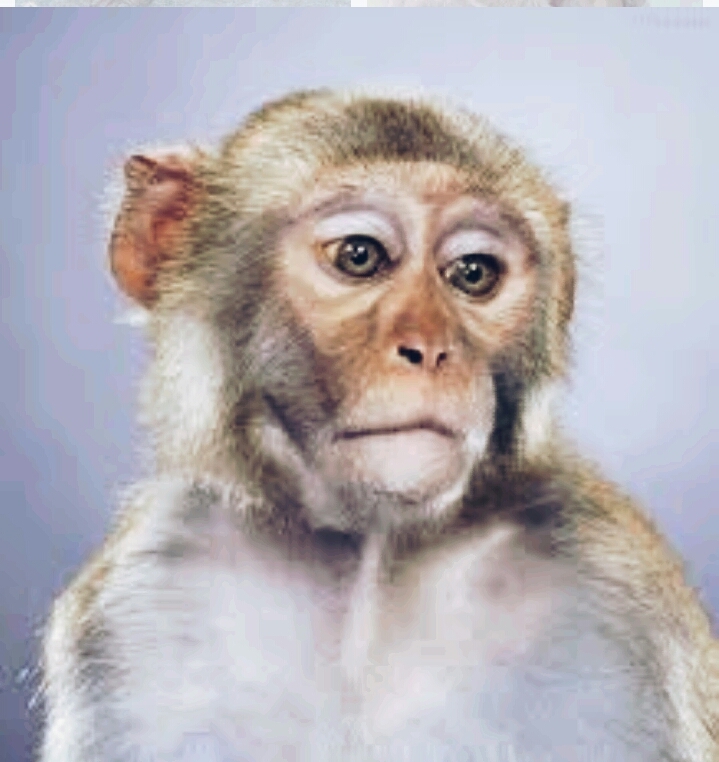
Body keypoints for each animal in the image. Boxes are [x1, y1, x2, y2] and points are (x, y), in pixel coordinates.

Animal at [40, 89, 718, 762]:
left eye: (473, 273)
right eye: (359, 256)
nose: (432, 349)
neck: (370, 554)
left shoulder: (618, 600)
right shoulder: (138, 604)